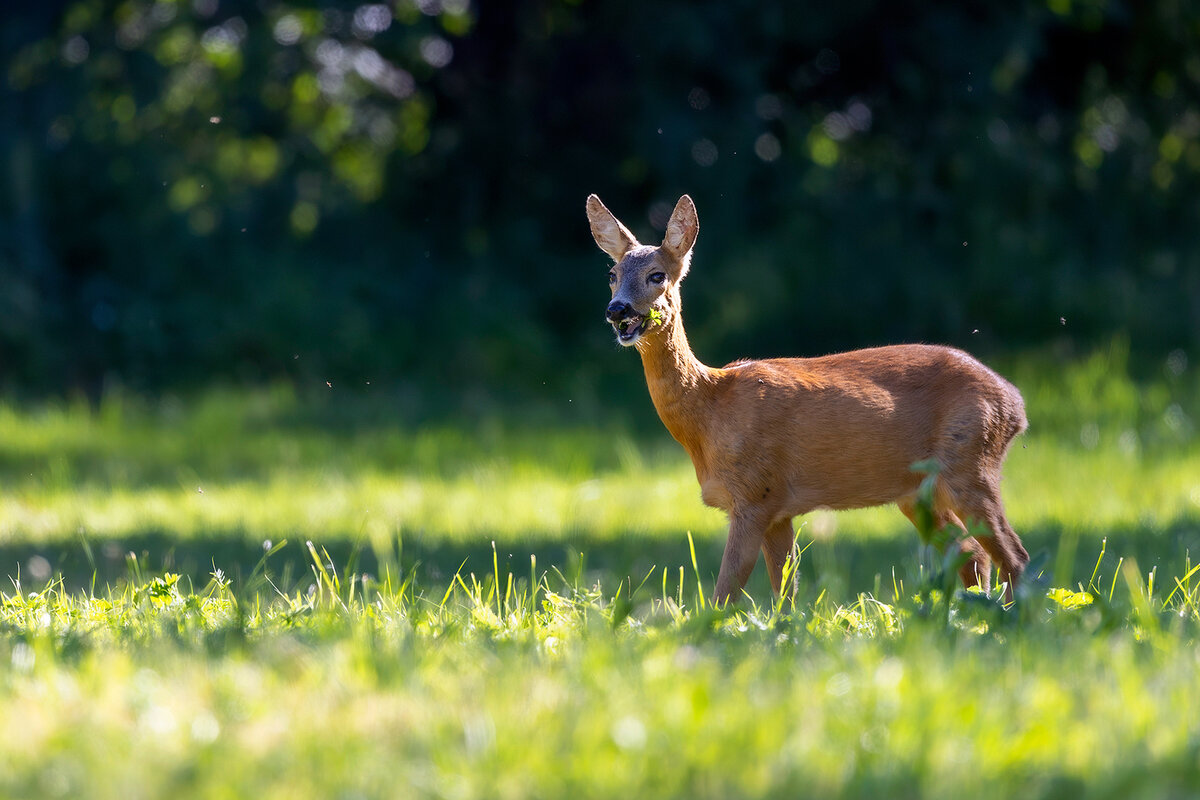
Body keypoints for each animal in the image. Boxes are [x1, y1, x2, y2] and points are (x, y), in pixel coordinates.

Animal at [586, 193, 1030, 605]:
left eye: (657, 275)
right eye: (611, 273)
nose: (617, 310)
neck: (710, 409)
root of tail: (1016, 405)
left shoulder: (754, 495)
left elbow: (725, 593)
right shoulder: (777, 509)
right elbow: (786, 594)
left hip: (970, 462)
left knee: (1014, 555)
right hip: (920, 492)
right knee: (974, 554)